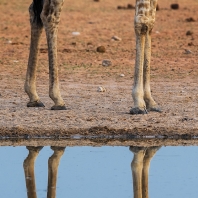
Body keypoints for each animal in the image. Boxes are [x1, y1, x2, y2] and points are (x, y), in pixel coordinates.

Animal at [24, 0, 161, 113]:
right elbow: (141, 23)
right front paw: (139, 103)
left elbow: (150, 23)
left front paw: (150, 100)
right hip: (51, 14)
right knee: (49, 15)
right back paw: (57, 98)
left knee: (35, 12)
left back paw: (34, 96)